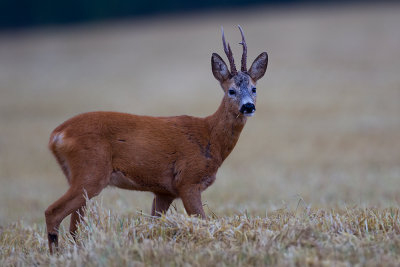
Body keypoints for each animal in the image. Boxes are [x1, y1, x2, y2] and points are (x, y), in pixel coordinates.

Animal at [45, 26, 268, 254]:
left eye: (254, 88)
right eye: (231, 90)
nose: (248, 106)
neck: (210, 137)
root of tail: (57, 135)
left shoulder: (163, 191)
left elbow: (154, 222)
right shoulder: (188, 180)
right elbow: (202, 221)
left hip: (78, 176)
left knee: (74, 223)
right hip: (92, 171)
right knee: (52, 212)